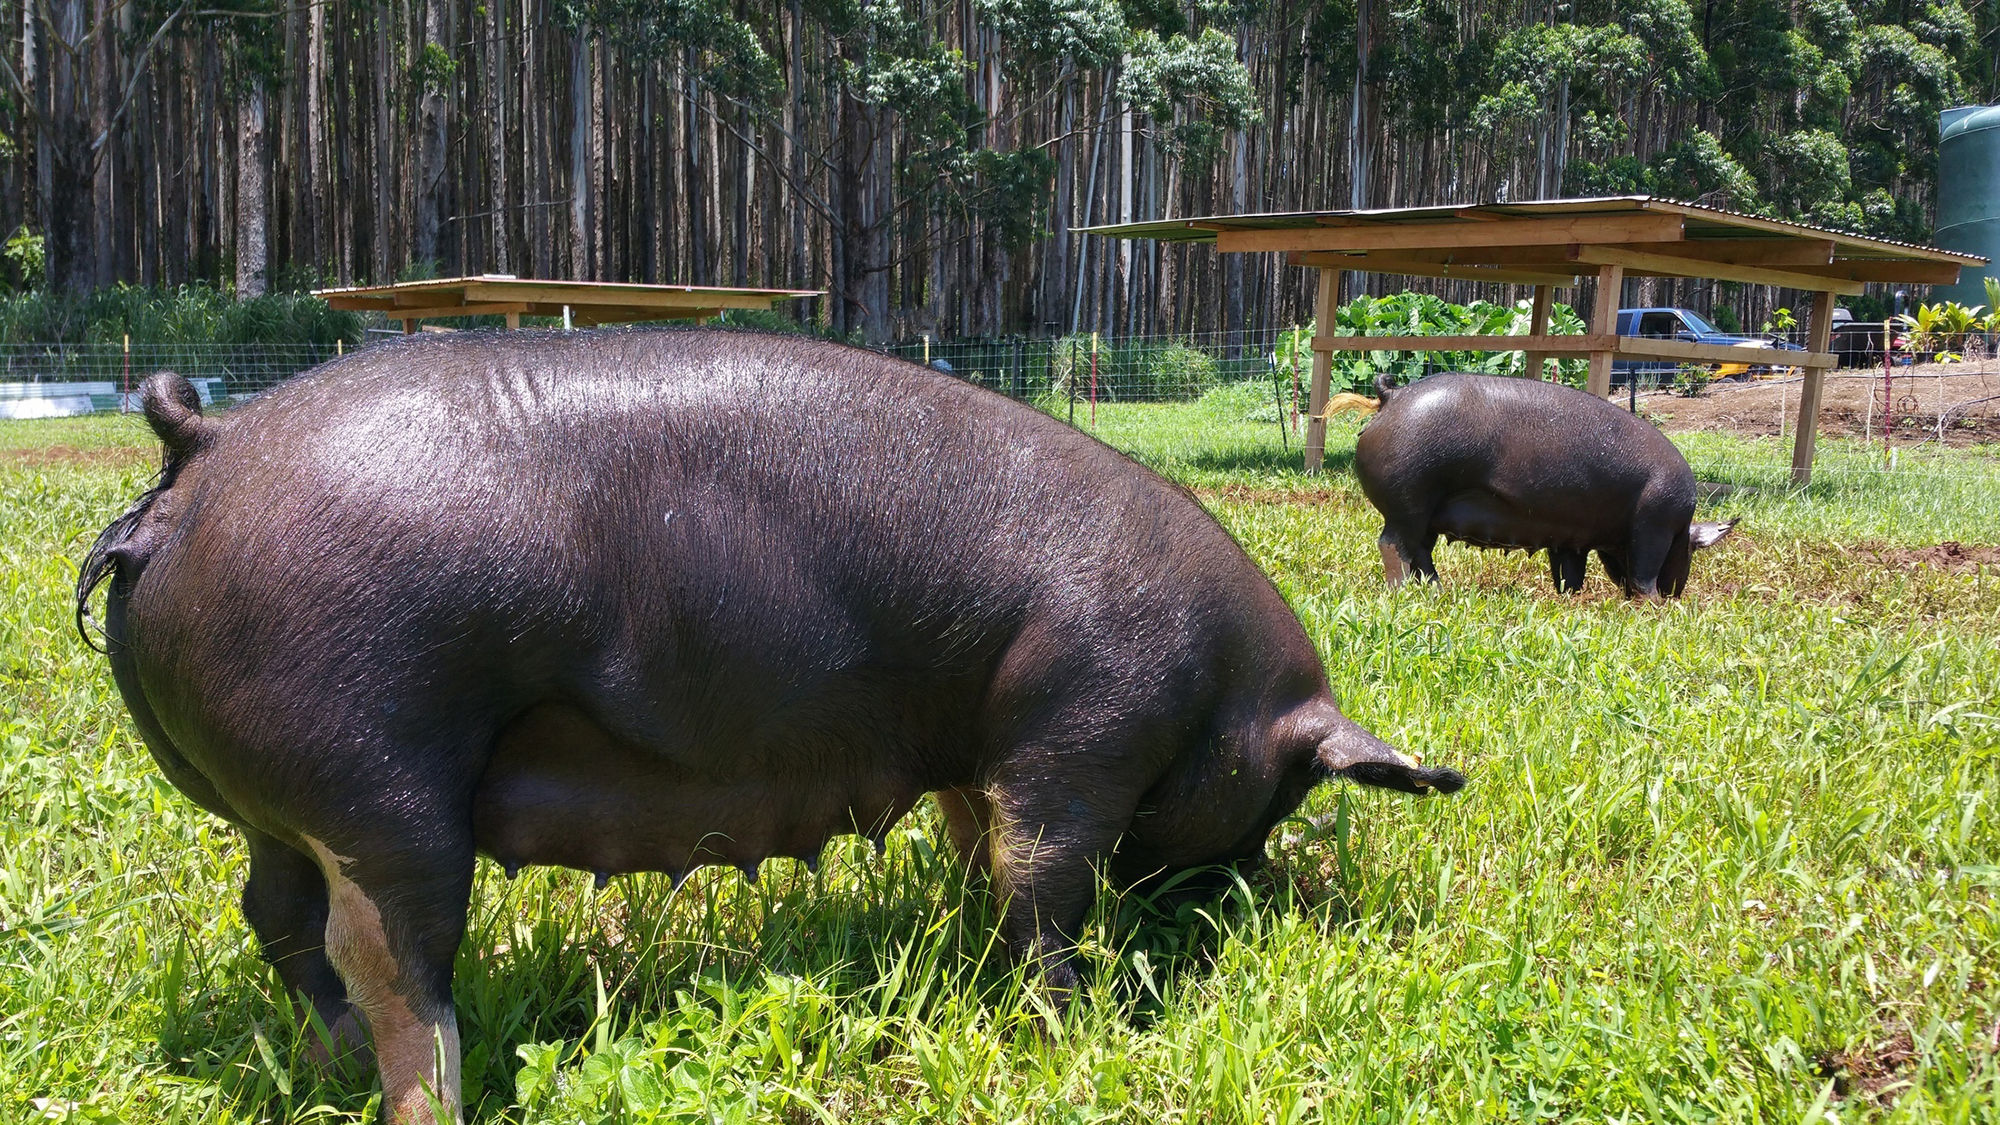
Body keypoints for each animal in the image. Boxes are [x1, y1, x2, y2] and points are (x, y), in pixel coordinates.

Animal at [77, 330, 1465, 1124]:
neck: (1218, 683)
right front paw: (1082, 1022)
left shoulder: (978, 750)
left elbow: (980, 849)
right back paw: (426, 1097)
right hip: (374, 773)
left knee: (274, 911)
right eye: (1285, 789)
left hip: (285, 797)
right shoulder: (1085, 725)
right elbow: (1044, 881)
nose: (1229, 902)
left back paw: (324, 1064)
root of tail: (203, 447)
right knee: (390, 960)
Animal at [1354, 372, 1735, 598]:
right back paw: (1402, 594)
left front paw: (1572, 600)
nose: (1676, 595)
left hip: (1423, 511)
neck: (1680, 527)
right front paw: (1653, 606)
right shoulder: (1653, 526)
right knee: (1392, 544)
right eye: (1691, 549)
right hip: (1409, 500)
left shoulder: (1571, 538)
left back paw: (1437, 592)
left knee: (1420, 551)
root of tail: (1392, 395)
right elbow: (1644, 574)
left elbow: (1570, 575)